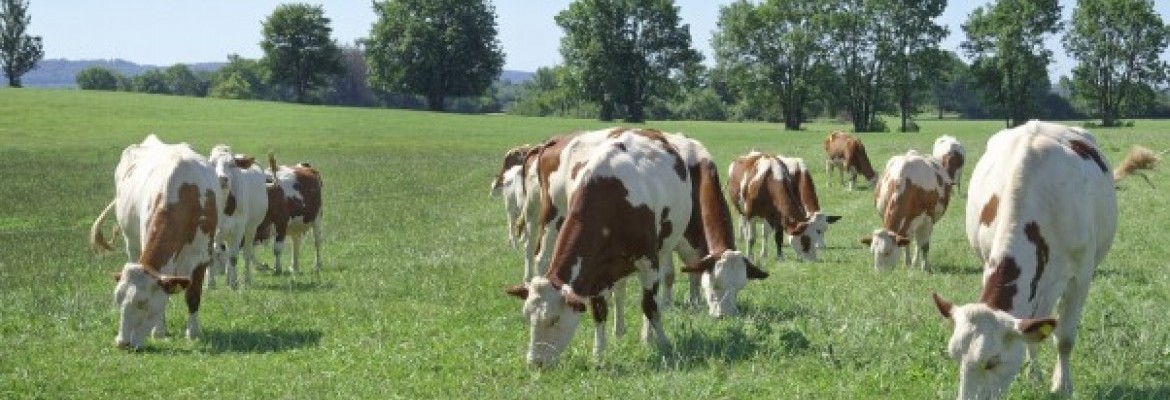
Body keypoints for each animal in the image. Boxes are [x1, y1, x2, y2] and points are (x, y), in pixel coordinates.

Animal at [88, 134, 221, 350]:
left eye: (142, 302)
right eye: (118, 300)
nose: (121, 343)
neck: (185, 193)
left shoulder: (202, 254)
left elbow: (193, 295)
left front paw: (193, 333)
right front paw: (159, 331)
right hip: (131, 243)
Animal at [208, 145, 269, 288]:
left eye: (232, 164)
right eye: (212, 163)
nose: (222, 179)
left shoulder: (238, 229)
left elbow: (233, 257)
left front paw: (234, 283)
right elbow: (213, 255)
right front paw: (210, 283)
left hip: (251, 228)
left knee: (246, 253)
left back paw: (245, 280)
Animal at [500, 128, 683, 369]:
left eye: (554, 319)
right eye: (527, 317)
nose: (534, 363)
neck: (611, 198)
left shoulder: (648, 260)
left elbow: (650, 306)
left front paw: (664, 344)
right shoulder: (595, 271)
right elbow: (598, 311)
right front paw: (598, 355)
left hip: (662, 250)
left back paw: (645, 336)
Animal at [931, 120, 1113, 397]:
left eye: (992, 362)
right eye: (955, 357)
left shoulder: (1081, 276)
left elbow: (1065, 339)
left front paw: (1062, 385)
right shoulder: (989, 262)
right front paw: (1034, 376)